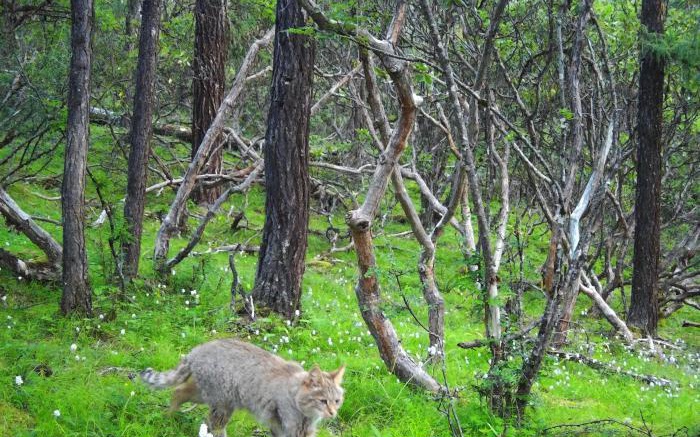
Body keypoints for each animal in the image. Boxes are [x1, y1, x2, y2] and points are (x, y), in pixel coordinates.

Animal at [140, 338, 344, 436]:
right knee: (215, 425)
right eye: (323, 401)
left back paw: (168, 416)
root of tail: (196, 350)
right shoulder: (288, 426)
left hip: (204, 393)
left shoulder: (299, 430)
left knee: (178, 391)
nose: (333, 413)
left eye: (336, 401)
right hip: (222, 403)